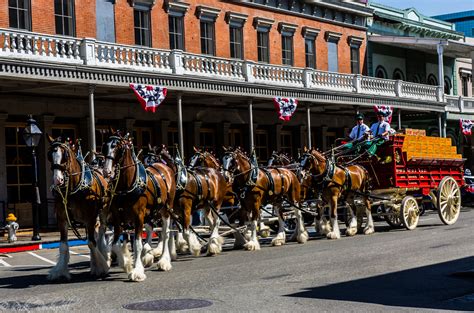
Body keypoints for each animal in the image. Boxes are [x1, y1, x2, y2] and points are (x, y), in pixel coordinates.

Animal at [46, 135, 109, 280]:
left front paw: (101, 267)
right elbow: (63, 245)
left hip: (102, 213)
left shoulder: (90, 217)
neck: (73, 189)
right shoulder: (62, 219)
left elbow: (91, 243)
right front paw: (60, 271)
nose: (57, 180)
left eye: (65, 155)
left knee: (100, 234)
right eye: (49, 155)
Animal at [103, 132, 177, 280]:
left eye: (118, 147)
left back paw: (164, 261)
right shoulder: (117, 218)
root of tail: (166, 167)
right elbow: (115, 244)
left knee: (165, 233)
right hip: (151, 213)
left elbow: (137, 243)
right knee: (150, 229)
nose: (107, 171)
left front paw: (137, 271)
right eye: (105, 146)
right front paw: (126, 264)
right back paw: (147, 254)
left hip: (165, 209)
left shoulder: (138, 216)